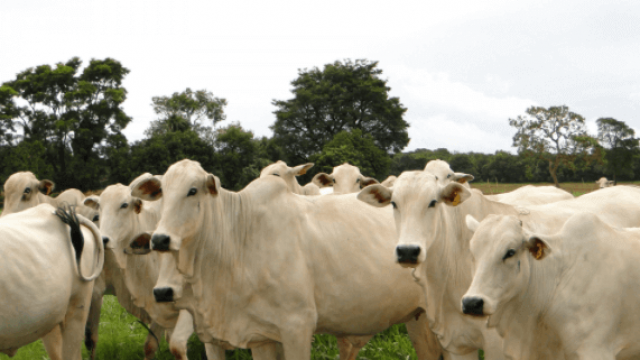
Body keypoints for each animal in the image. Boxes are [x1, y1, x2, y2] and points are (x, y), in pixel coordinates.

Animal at [131, 160, 444, 360]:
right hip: (418, 318)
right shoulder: (259, 335)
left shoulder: (298, 327)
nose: (160, 239)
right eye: (162, 192)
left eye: (192, 190)